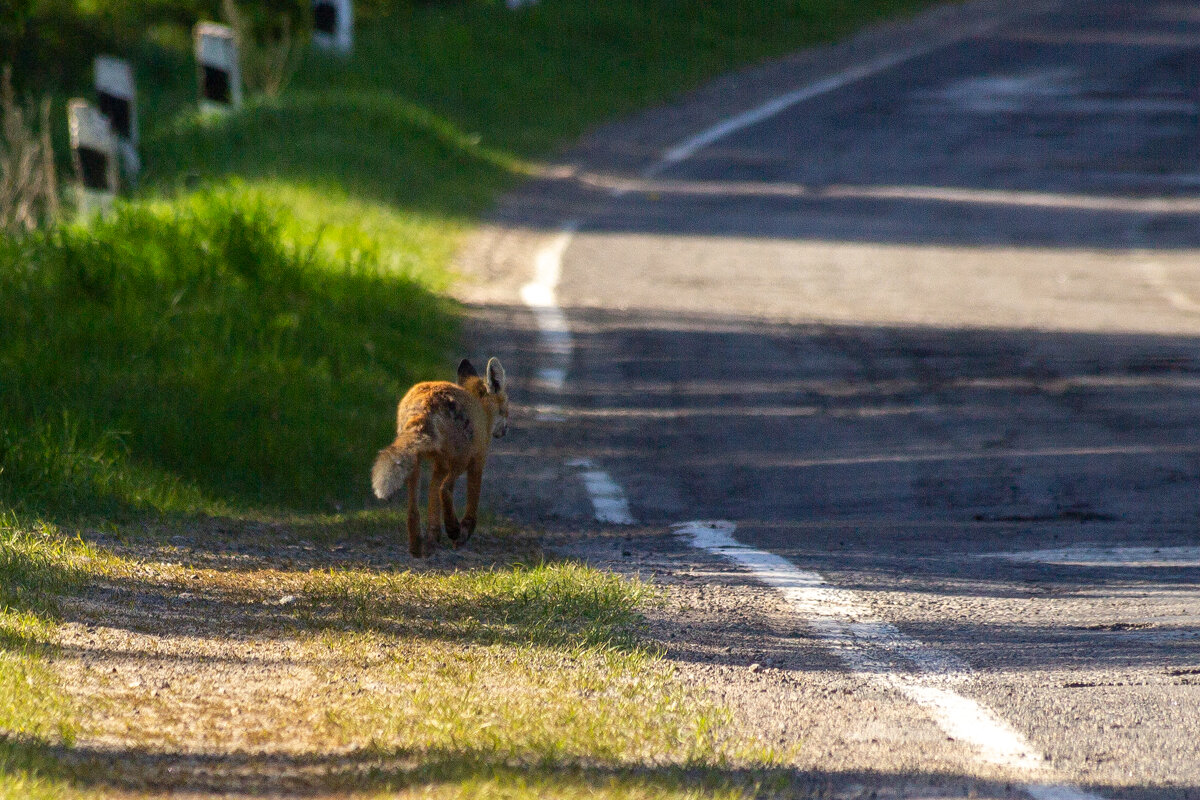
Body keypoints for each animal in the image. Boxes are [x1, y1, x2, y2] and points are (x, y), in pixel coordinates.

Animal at [372, 357, 508, 556]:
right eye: (506, 408)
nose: (505, 430)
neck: (481, 410)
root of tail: (427, 403)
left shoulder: (439, 465)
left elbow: (433, 500)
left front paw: (433, 536)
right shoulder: (477, 461)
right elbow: (471, 504)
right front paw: (463, 531)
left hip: (415, 461)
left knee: (413, 511)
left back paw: (416, 547)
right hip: (461, 459)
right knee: (445, 489)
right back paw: (453, 529)